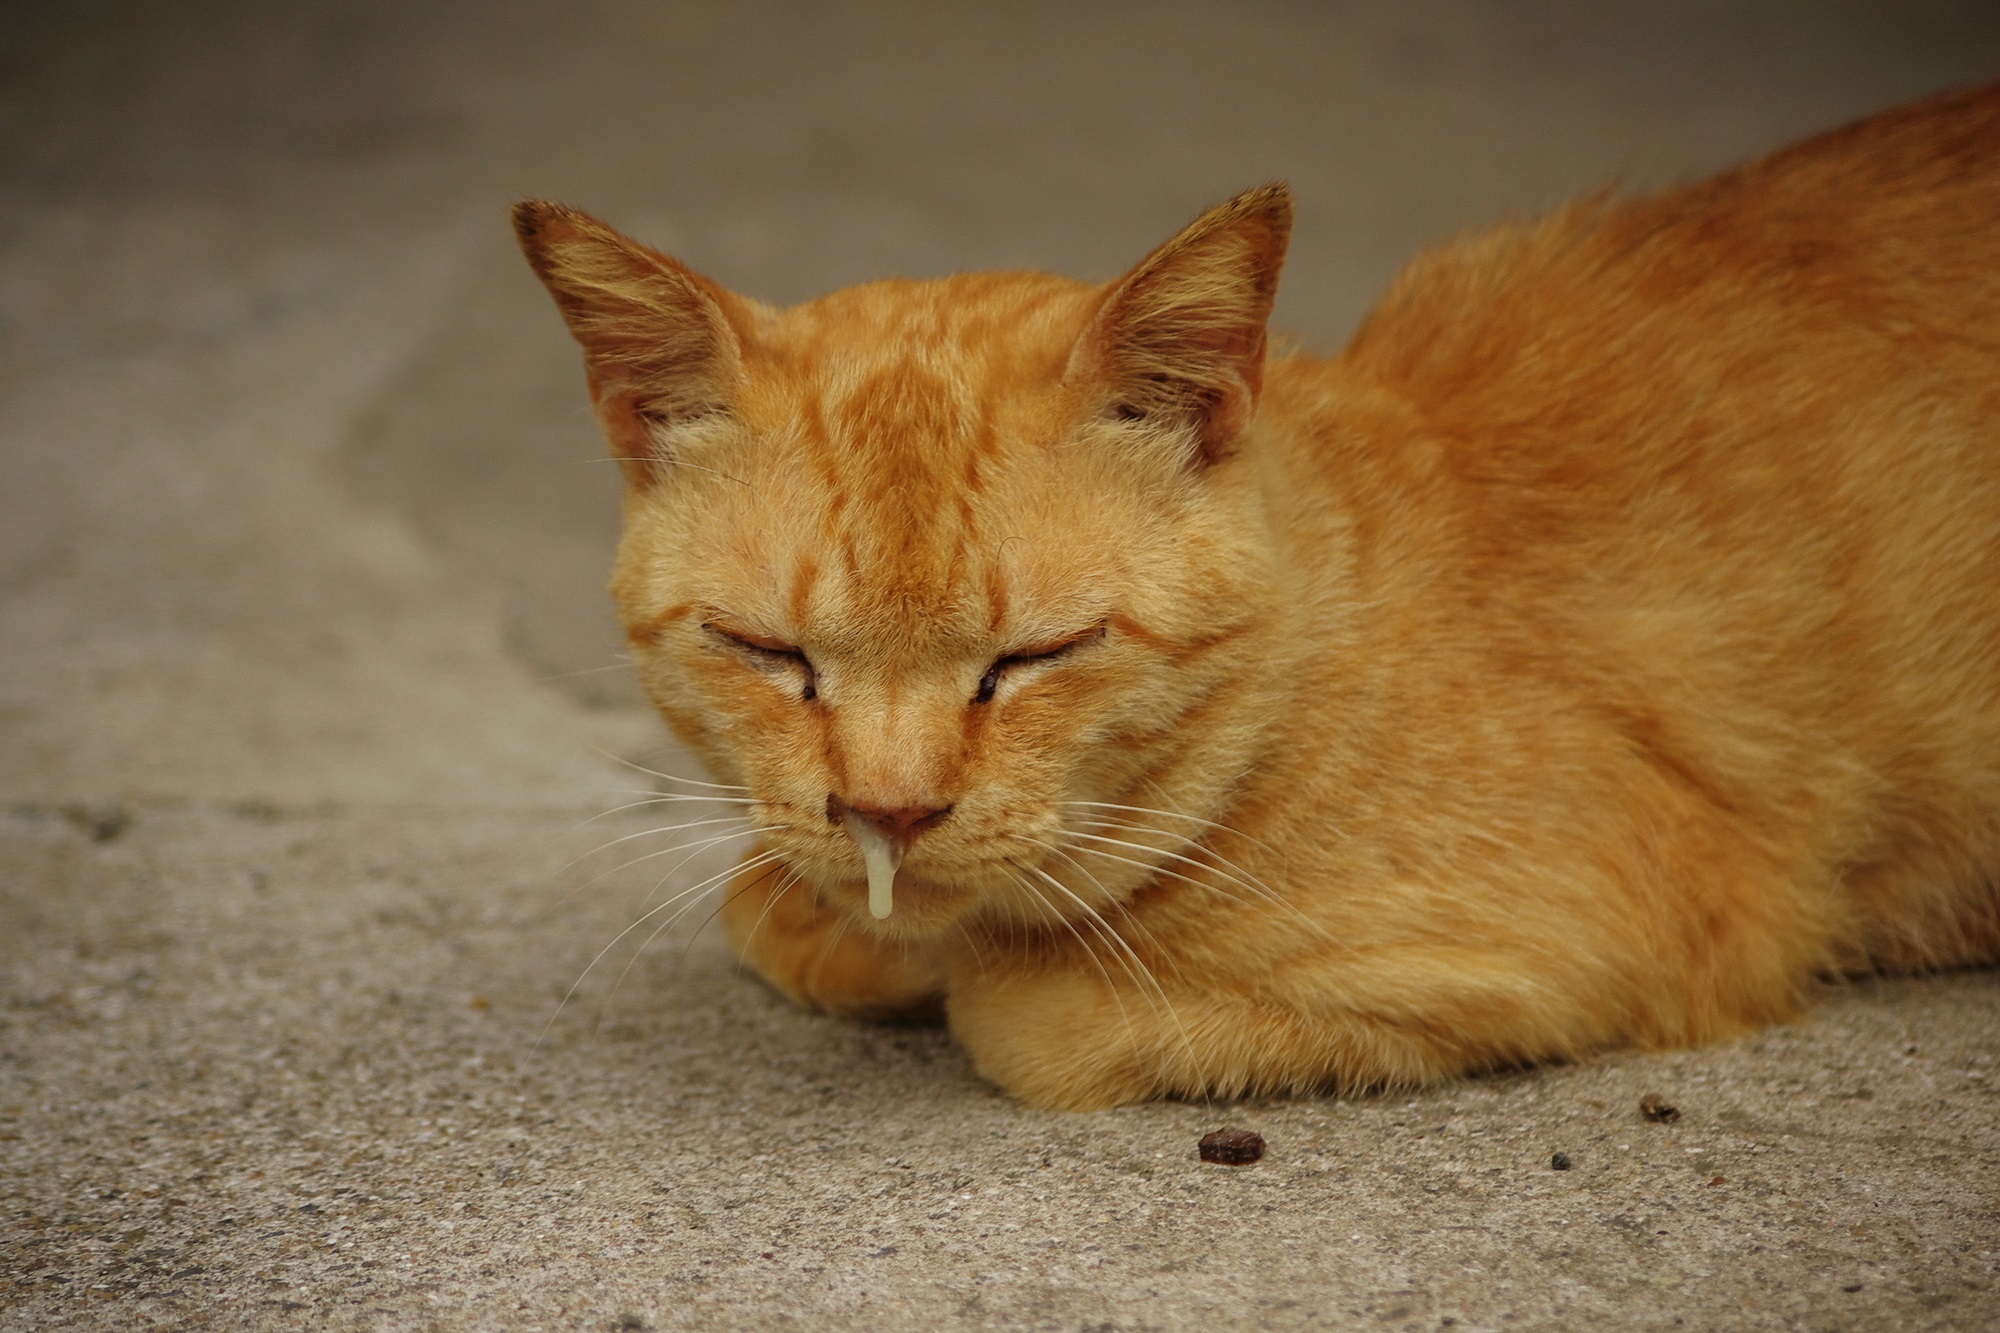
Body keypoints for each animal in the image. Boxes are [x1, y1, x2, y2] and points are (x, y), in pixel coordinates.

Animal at [524, 78, 2000, 1104]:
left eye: (1035, 656)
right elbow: (778, 900)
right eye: (764, 650)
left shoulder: (1602, 935)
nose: (889, 814)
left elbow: (1012, 1005)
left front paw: (932, 960)